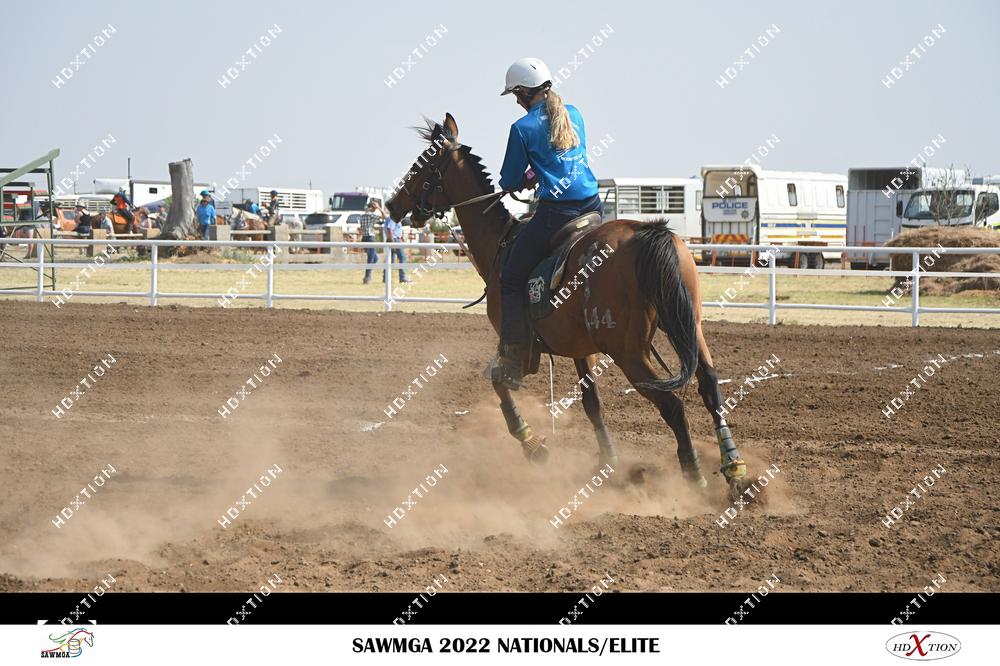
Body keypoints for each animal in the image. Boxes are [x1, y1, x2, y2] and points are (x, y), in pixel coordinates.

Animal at [386, 113, 760, 501]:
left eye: (421, 165)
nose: (392, 205)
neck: (500, 244)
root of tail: (649, 235)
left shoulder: (514, 346)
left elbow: (500, 382)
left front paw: (533, 444)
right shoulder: (582, 349)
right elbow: (591, 403)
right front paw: (606, 461)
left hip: (630, 352)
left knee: (672, 404)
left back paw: (694, 476)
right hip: (688, 327)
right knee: (710, 388)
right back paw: (735, 470)